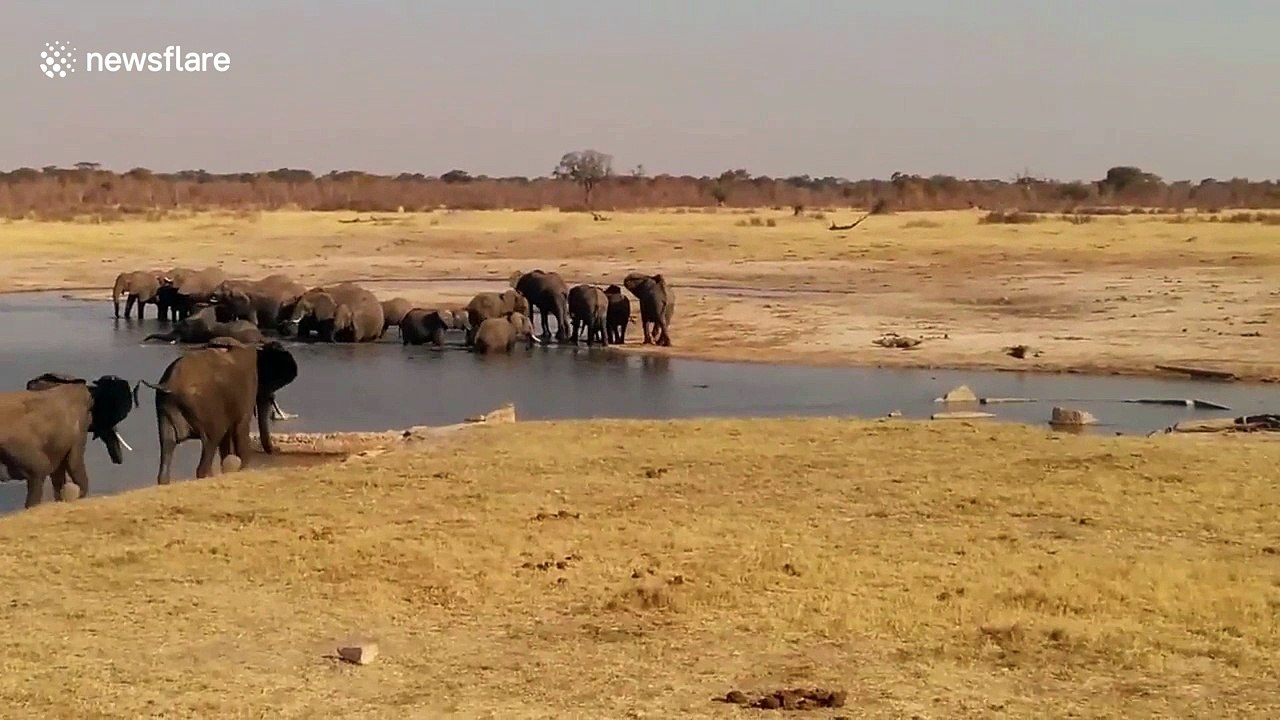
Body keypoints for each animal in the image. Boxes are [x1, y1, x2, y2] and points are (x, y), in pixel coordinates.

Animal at [135, 339, 299, 484]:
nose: (277, 448)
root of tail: (168, 384)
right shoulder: (246, 388)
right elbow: (240, 427)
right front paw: (243, 468)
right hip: (203, 406)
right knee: (212, 439)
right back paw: (206, 475)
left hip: (165, 407)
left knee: (167, 443)